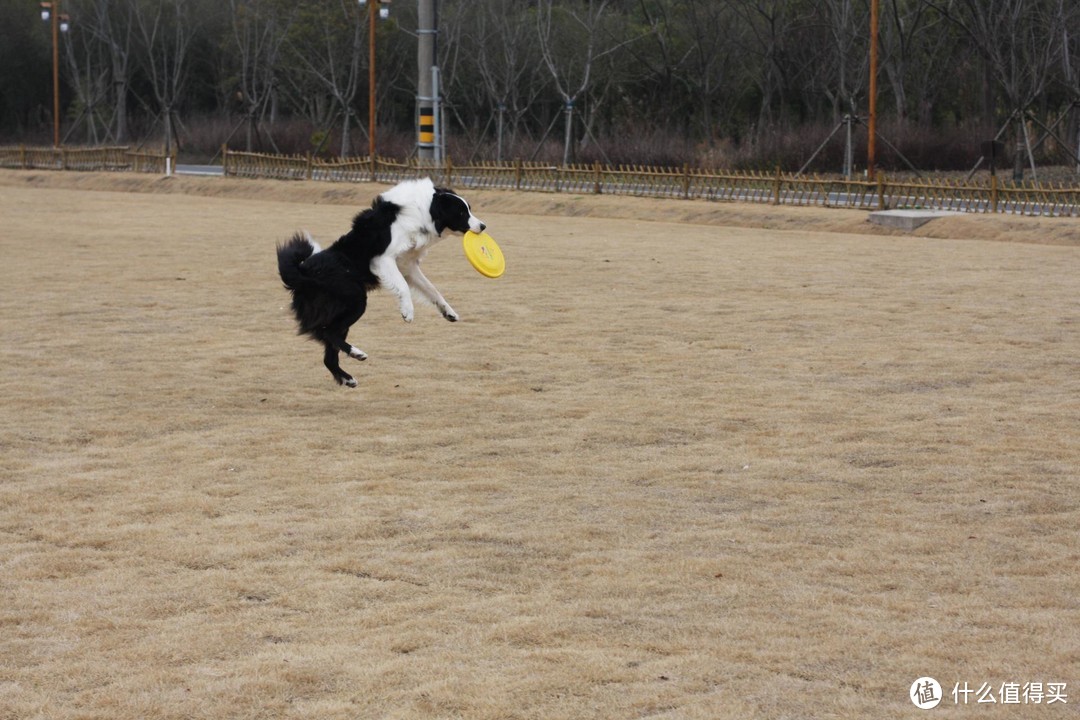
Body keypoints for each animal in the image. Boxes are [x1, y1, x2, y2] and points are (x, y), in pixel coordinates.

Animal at [278, 177, 486, 386]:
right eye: (461, 212)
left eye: (469, 209)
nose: (483, 226)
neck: (424, 211)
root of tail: (302, 273)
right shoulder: (383, 259)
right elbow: (403, 287)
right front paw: (407, 312)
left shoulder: (407, 265)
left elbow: (431, 289)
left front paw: (448, 312)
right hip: (355, 299)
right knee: (328, 332)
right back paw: (357, 353)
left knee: (328, 352)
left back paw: (347, 378)